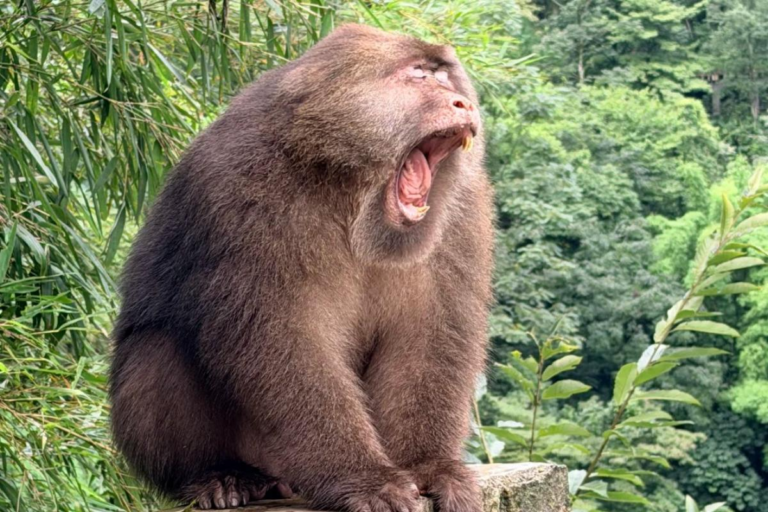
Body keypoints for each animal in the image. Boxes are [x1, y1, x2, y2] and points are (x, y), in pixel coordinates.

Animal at [110, 23, 494, 512]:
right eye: (419, 75)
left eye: (446, 76)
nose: (462, 102)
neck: (345, 187)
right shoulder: (242, 189)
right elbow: (280, 336)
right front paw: (363, 478)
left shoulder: (462, 211)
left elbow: (432, 332)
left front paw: (429, 466)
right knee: (157, 347)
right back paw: (217, 475)